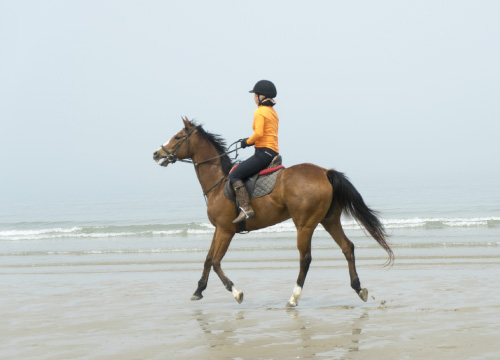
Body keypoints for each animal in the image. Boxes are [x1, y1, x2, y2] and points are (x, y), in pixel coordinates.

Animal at [152, 118, 394, 306]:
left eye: (177, 137)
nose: (156, 153)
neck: (218, 182)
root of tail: (325, 172)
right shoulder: (218, 230)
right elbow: (208, 259)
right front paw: (198, 290)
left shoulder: (225, 230)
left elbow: (215, 262)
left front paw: (236, 292)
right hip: (329, 220)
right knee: (347, 247)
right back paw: (358, 288)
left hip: (305, 224)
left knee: (305, 258)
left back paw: (294, 298)